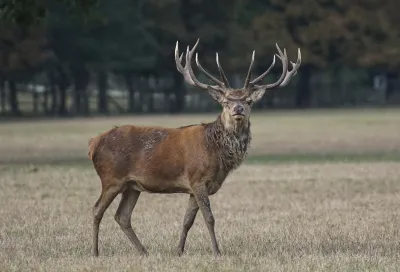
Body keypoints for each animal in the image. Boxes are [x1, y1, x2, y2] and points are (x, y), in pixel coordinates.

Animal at [87, 38, 300, 258]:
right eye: (226, 101)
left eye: (248, 101)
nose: (238, 109)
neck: (217, 155)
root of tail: (93, 143)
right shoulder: (198, 179)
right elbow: (209, 218)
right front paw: (217, 251)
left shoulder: (193, 188)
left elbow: (187, 221)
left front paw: (179, 251)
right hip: (112, 178)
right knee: (96, 209)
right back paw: (95, 252)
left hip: (132, 185)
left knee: (122, 216)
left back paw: (144, 252)